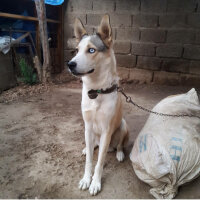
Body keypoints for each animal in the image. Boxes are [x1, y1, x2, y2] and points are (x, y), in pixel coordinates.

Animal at [68, 14, 129, 196]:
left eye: (91, 50)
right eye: (77, 50)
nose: (70, 64)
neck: (96, 90)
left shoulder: (107, 130)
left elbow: (99, 163)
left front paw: (95, 183)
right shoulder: (87, 126)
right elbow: (89, 161)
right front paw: (86, 179)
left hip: (123, 125)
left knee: (119, 145)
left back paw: (119, 154)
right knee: (92, 146)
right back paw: (86, 149)